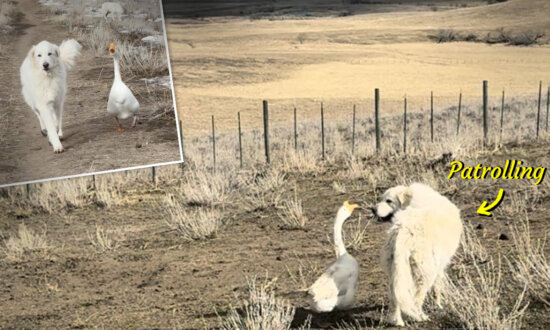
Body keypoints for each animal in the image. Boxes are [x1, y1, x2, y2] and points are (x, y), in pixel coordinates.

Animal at [376, 184, 466, 326]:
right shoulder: (440, 265)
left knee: (395, 297)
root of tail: (403, 229)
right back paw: (420, 317)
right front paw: (438, 305)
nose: (372, 209)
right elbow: (437, 288)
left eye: (388, 201)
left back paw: (398, 322)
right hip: (425, 273)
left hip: (395, 271)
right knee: (416, 300)